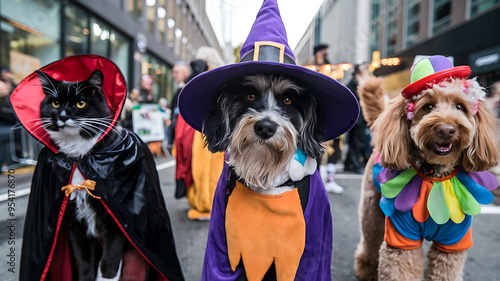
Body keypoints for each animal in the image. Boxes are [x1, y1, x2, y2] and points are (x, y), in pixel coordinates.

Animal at [37, 69, 127, 278]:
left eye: (80, 103)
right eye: (55, 103)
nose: (62, 116)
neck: (79, 156)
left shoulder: (115, 220)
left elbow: (109, 262)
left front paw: (108, 275)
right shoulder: (74, 224)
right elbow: (84, 261)